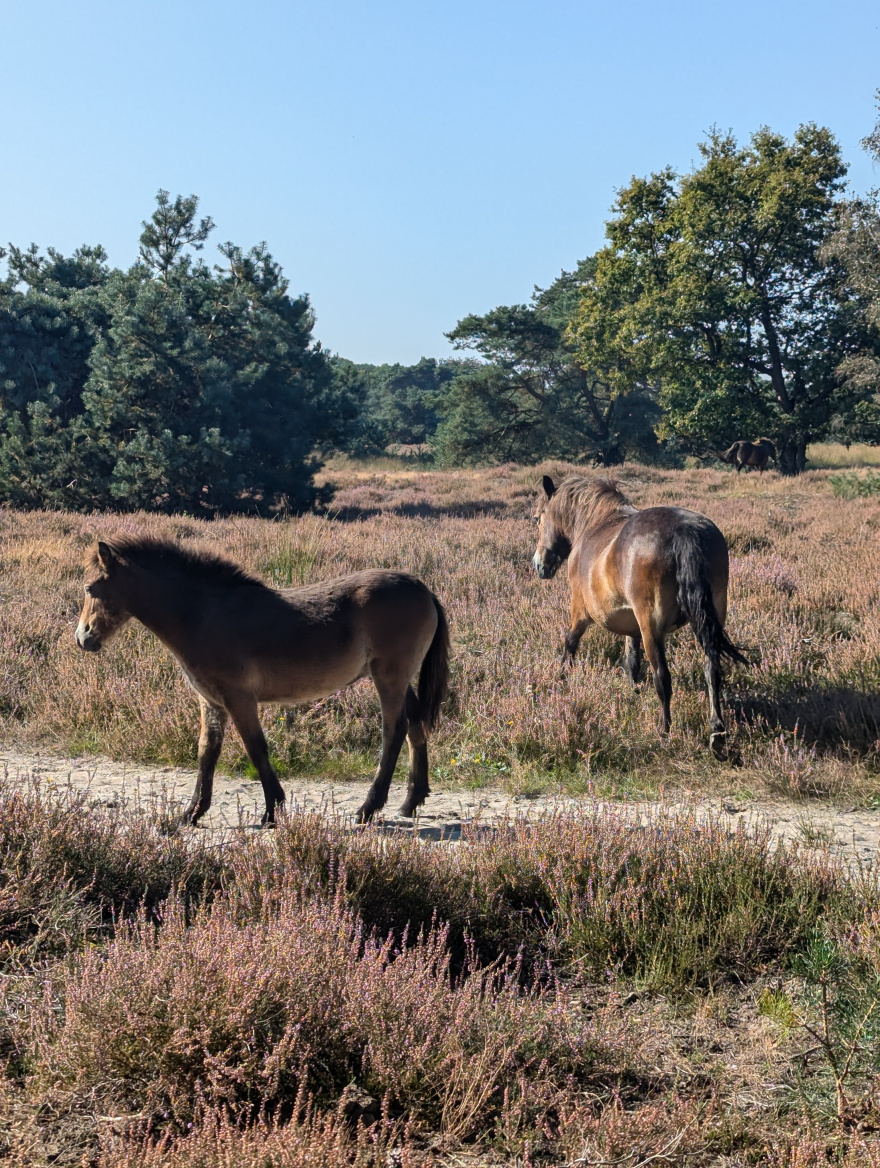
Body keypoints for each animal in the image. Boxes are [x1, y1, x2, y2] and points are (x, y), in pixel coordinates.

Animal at [73, 539, 446, 826]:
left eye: (90, 588)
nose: (83, 639)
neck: (204, 615)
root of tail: (424, 589)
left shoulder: (239, 698)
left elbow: (255, 747)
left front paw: (272, 810)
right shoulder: (211, 701)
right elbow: (206, 752)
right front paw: (190, 814)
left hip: (389, 677)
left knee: (394, 732)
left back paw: (367, 808)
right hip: (399, 679)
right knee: (415, 725)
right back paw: (410, 801)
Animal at [532, 474, 743, 756]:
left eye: (537, 518)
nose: (539, 565)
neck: (594, 522)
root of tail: (684, 530)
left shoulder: (580, 611)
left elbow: (570, 644)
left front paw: (561, 679)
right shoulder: (631, 627)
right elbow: (631, 662)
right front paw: (633, 697)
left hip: (651, 626)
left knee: (662, 677)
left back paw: (664, 732)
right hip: (713, 615)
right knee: (712, 669)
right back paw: (716, 731)